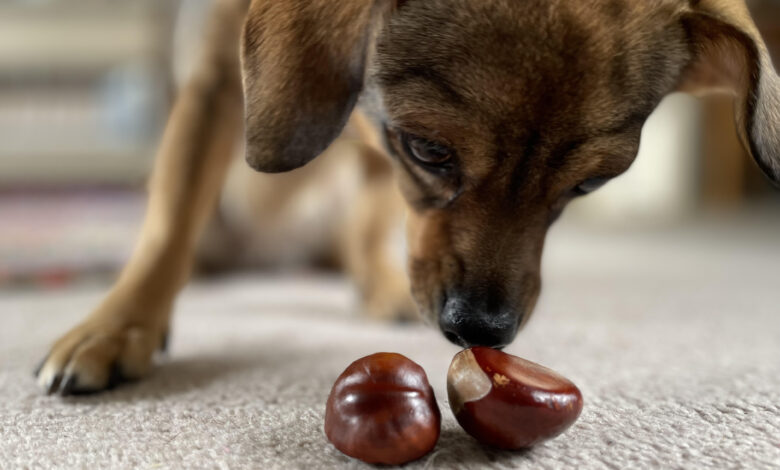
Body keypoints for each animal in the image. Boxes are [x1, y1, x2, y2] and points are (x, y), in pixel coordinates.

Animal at [36, 0, 780, 394]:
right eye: (429, 150)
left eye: (589, 184)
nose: (483, 330)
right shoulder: (215, 75)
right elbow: (170, 219)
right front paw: (119, 325)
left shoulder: (377, 156)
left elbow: (379, 219)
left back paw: (377, 281)